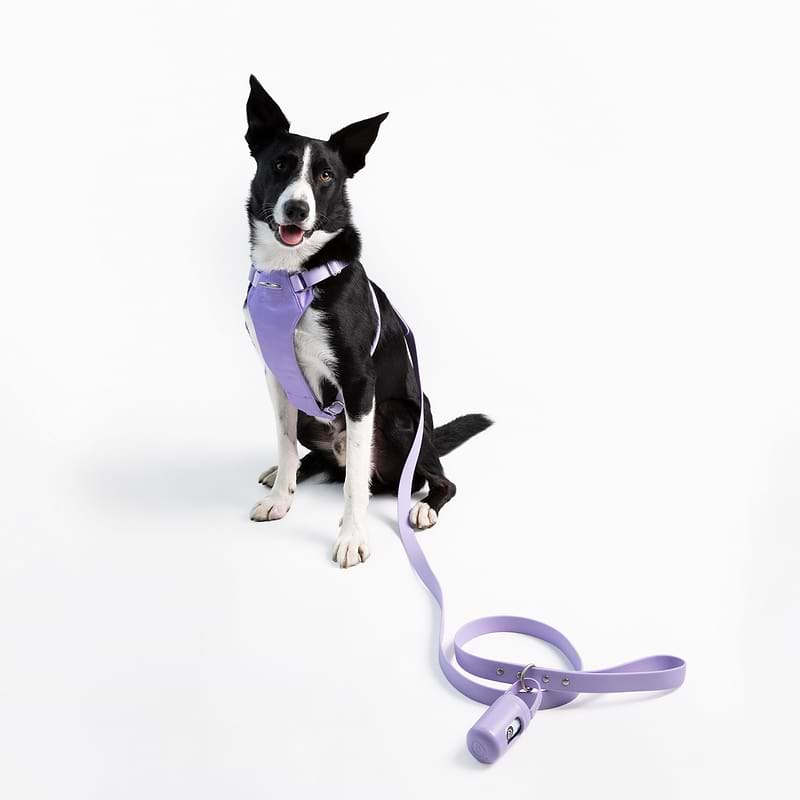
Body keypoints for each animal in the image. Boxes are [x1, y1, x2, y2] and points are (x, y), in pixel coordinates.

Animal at [245, 72, 494, 564]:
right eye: (280, 165)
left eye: (326, 176)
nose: (297, 209)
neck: (293, 274)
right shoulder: (276, 376)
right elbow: (284, 441)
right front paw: (281, 498)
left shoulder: (360, 383)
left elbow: (355, 481)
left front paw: (352, 537)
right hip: (312, 416)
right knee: (315, 457)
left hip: (399, 418)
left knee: (434, 479)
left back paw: (424, 507)